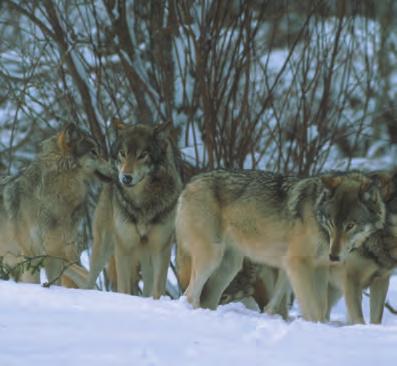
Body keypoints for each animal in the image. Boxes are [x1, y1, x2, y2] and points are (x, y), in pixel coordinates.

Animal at [79, 120, 184, 298]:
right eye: (123, 153)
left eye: (142, 155)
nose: (125, 178)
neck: (142, 203)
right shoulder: (124, 247)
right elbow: (124, 289)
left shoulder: (161, 249)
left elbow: (157, 290)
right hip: (103, 248)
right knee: (89, 280)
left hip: (146, 257)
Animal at [175, 170, 386, 322]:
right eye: (332, 223)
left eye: (350, 225)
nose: (333, 256)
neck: (318, 219)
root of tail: (190, 183)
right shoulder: (297, 265)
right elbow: (313, 310)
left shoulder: (319, 269)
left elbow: (320, 308)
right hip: (212, 257)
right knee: (189, 295)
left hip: (229, 267)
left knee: (205, 299)